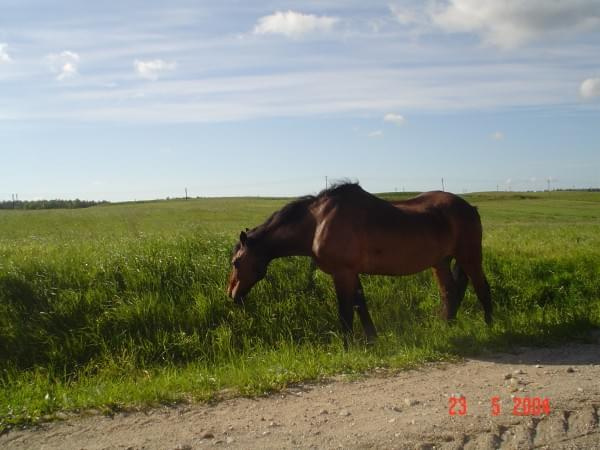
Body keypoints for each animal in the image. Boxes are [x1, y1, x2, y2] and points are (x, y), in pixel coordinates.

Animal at [226, 182, 492, 344]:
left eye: (236, 262)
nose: (232, 295)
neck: (318, 223)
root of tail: (470, 208)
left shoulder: (342, 273)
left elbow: (345, 310)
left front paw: (347, 347)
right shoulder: (352, 273)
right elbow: (360, 305)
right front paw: (372, 340)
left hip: (470, 257)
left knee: (483, 289)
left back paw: (490, 327)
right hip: (441, 262)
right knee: (450, 292)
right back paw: (447, 328)